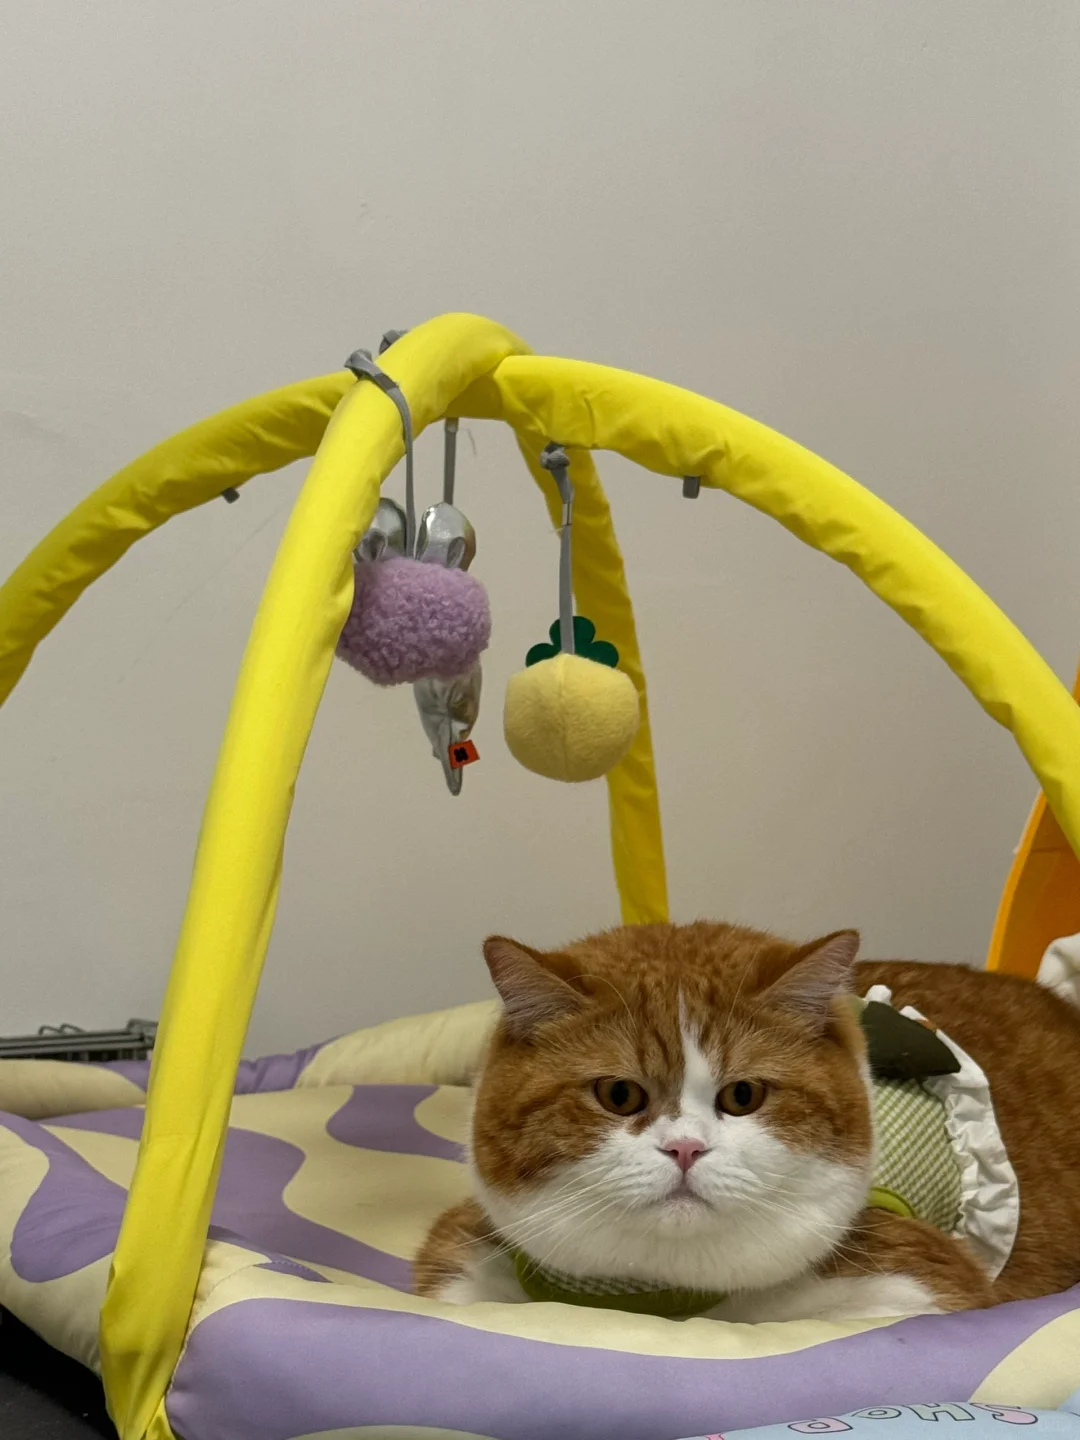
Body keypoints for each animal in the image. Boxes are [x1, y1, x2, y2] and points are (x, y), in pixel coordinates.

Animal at [414, 921, 1080, 1322]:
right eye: (620, 1094)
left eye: (742, 1095)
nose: (685, 1148)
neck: (667, 1295)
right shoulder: (467, 1257)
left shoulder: (918, 1282)